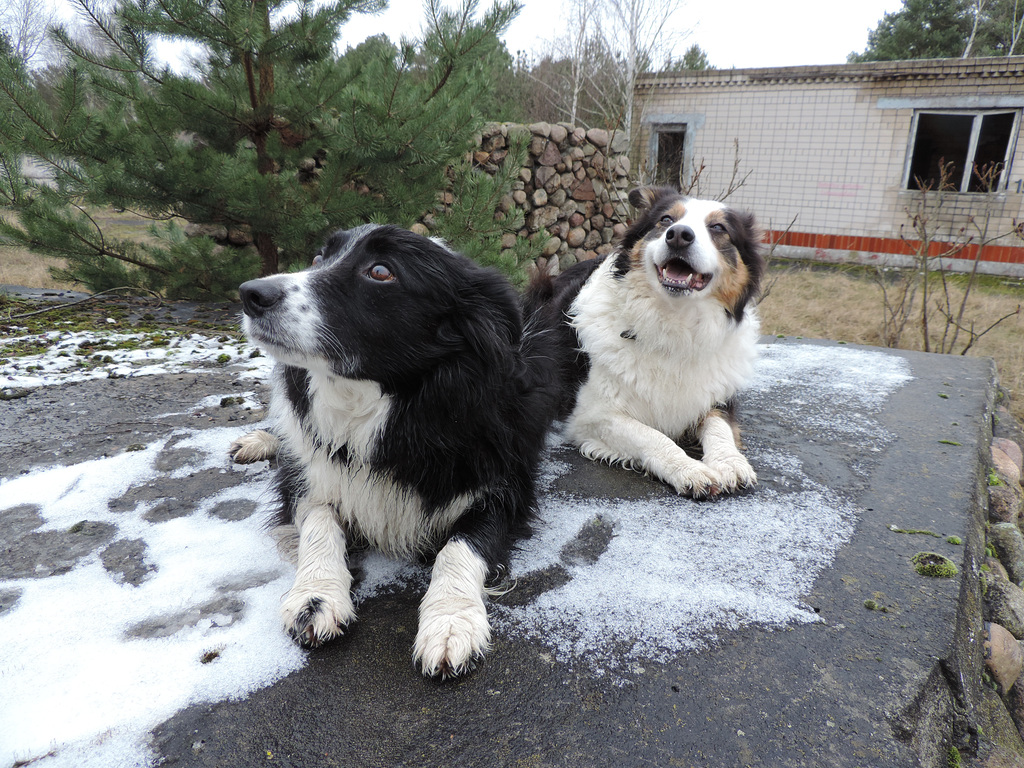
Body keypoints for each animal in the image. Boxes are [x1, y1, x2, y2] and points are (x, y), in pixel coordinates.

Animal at [234, 227, 561, 679]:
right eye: (319, 258)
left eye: (381, 272)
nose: (250, 293)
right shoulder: (308, 474)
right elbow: (319, 520)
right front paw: (316, 594)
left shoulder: (507, 488)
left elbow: (460, 546)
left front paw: (450, 619)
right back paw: (258, 441)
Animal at [532, 187, 765, 499]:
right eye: (666, 219)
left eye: (718, 228)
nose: (678, 235)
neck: (674, 323)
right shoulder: (591, 414)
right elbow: (651, 436)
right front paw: (688, 469)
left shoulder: (718, 396)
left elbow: (720, 427)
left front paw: (730, 462)